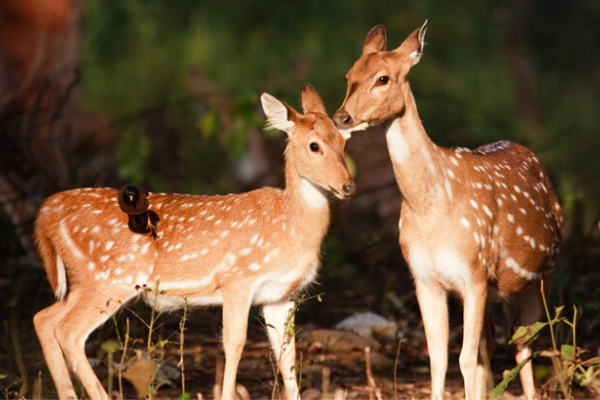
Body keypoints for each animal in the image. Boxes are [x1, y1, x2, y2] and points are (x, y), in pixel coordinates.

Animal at [34, 84, 356, 400]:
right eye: (314, 145)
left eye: (345, 142)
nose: (348, 187)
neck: (287, 224)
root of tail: (47, 213)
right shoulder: (237, 279)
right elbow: (234, 344)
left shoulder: (280, 295)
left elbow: (287, 354)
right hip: (111, 278)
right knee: (68, 332)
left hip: (85, 281)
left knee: (44, 318)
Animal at [332, 22, 564, 400]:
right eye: (348, 75)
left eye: (383, 78)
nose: (342, 117)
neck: (431, 206)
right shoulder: (424, 278)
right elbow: (439, 358)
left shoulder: (475, 273)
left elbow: (464, 360)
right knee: (496, 342)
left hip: (543, 273)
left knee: (528, 341)